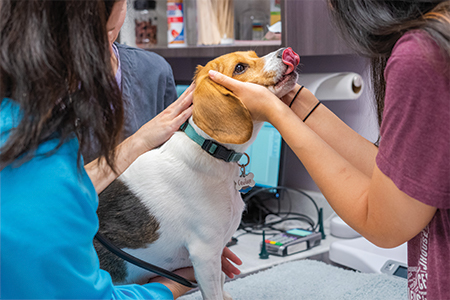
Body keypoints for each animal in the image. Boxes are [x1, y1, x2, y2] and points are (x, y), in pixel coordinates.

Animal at [95, 48, 298, 298]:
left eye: (254, 54)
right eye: (240, 68)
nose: (285, 52)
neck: (210, 150)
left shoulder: (218, 251)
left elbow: (222, 282)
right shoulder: (206, 253)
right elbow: (214, 293)